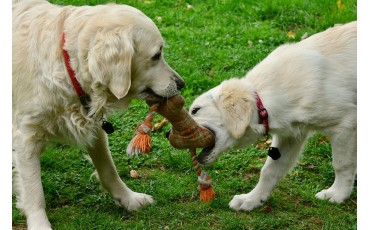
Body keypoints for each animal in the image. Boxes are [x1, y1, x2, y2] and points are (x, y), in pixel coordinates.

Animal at [12, 0, 184, 228]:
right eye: (156, 56)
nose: (181, 84)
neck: (67, 66)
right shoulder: (27, 136)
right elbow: (34, 192)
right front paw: (40, 224)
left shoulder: (95, 127)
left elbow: (108, 169)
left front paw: (129, 198)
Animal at [189, 22, 356, 212]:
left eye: (195, 110)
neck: (264, 101)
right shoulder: (291, 136)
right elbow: (269, 170)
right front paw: (252, 199)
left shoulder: (345, 123)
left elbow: (342, 164)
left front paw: (338, 194)